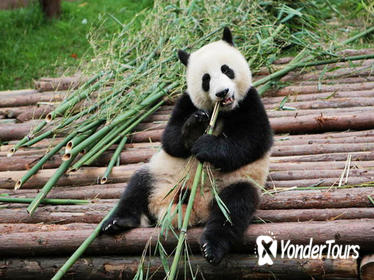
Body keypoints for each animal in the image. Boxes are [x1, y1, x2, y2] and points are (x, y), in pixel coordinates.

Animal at [101, 27, 274, 266]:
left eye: (226, 69)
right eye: (206, 79)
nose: (222, 93)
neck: (221, 112)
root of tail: (193, 210)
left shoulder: (250, 101)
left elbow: (252, 141)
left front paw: (207, 146)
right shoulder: (186, 103)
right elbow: (170, 138)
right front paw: (193, 129)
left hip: (233, 184)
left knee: (233, 208)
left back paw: (212, 247)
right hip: (161, 174)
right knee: (136, 187)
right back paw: (118, 222)